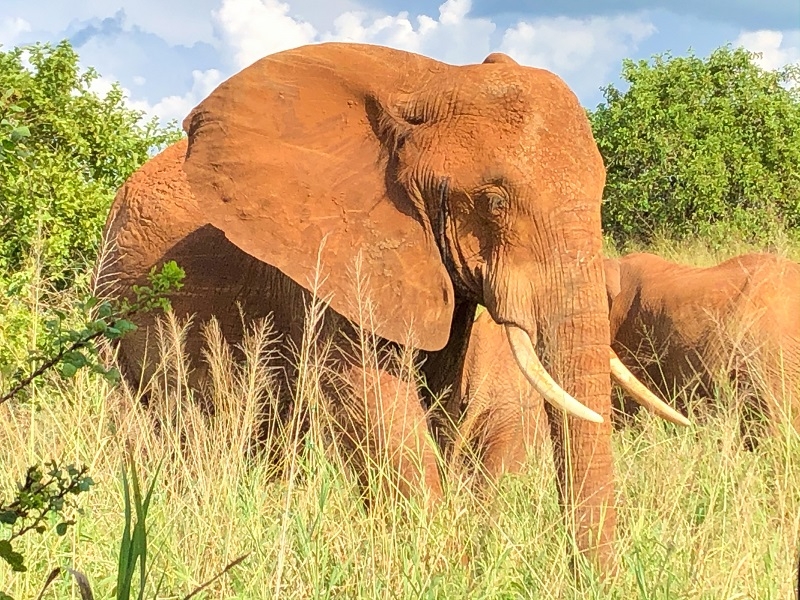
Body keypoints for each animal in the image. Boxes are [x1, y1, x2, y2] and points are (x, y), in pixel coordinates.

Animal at [95, 43, 680, 572]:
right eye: (493, 202)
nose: (593, 579)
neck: (431, 84)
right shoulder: (332, 252)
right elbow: (373, 401)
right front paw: (446, 570)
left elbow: (439, 402)